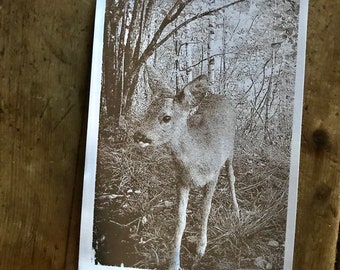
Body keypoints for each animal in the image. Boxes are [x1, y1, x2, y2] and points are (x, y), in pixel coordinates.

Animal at [133, 68, 239, 270]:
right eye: (147, 111)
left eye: (166, 117)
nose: (139, 135)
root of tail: (220, 96)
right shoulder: (181, 179)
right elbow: (180, 219)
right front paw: (174, 263)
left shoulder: (213, 175)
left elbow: (205, 211)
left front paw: (200, 250)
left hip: (231, 151)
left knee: (231, 177)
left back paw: (237, 211)